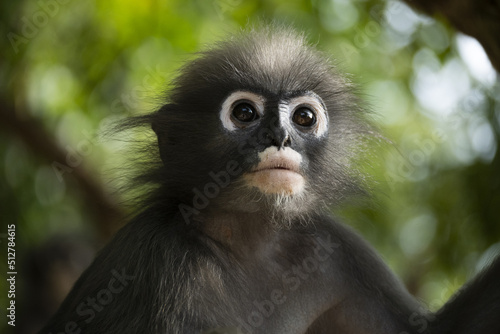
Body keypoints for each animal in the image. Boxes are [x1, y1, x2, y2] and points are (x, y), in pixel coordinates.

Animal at [39, 26, 500, 334]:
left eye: (305, 117)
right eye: (244, 113)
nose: (280, 137)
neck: (249, 240)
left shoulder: (336, 248)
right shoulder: (157, 260)